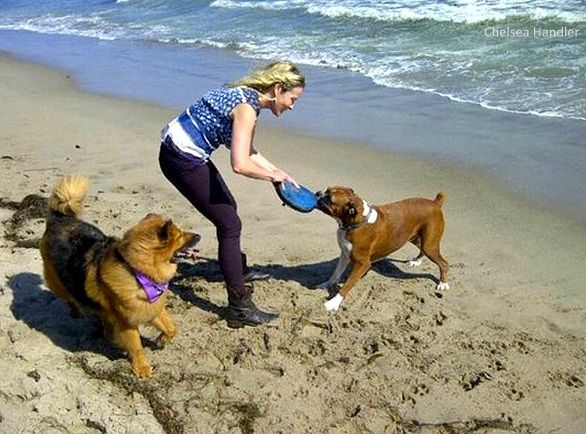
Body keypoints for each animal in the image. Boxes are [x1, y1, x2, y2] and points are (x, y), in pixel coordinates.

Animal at [39, 175, 198, 376]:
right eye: (180, 235)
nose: (199, 236)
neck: (137, 271)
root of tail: (59, 220)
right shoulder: (127, 322)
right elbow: (136, 346)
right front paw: (142, 368)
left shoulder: (152, 308)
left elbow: (171, 328)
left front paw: (162, 339)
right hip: (57, 281)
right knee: (69, 297)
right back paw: (77, 312)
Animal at [314, 186, 448, 312]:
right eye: (327, 190)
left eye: (329, 199)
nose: (318, 193)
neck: (356, 221)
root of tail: (435, 203)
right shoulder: (345, 255)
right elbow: (335, 274)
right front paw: (326, 284)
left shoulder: (362, 264)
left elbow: (347, 285)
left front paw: (334, 302)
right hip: (417, 239)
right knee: (422, 250)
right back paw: (417, 261)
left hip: (429, 245)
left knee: (443, 263)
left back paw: (443, 283)